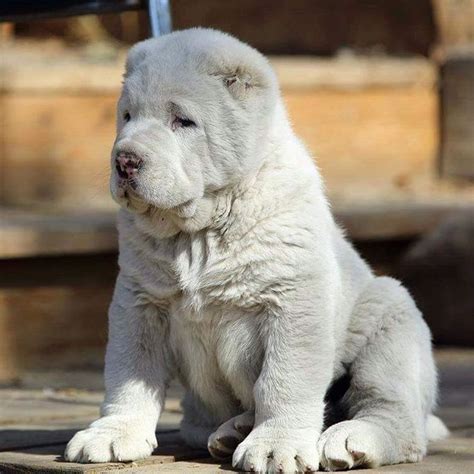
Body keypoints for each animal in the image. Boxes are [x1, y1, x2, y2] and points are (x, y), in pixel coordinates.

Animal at [65, 28, 446, 470]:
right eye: (127, 116)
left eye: (183, 121)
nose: (125, 160)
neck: (199, 231)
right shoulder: (139, 302)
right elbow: (129, 372)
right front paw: (112, 434)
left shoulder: (293, 302)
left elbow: (284, 379)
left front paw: (276, 446)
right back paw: (235, 428)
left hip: (390, 318)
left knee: (394, 416)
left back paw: (349, 438)